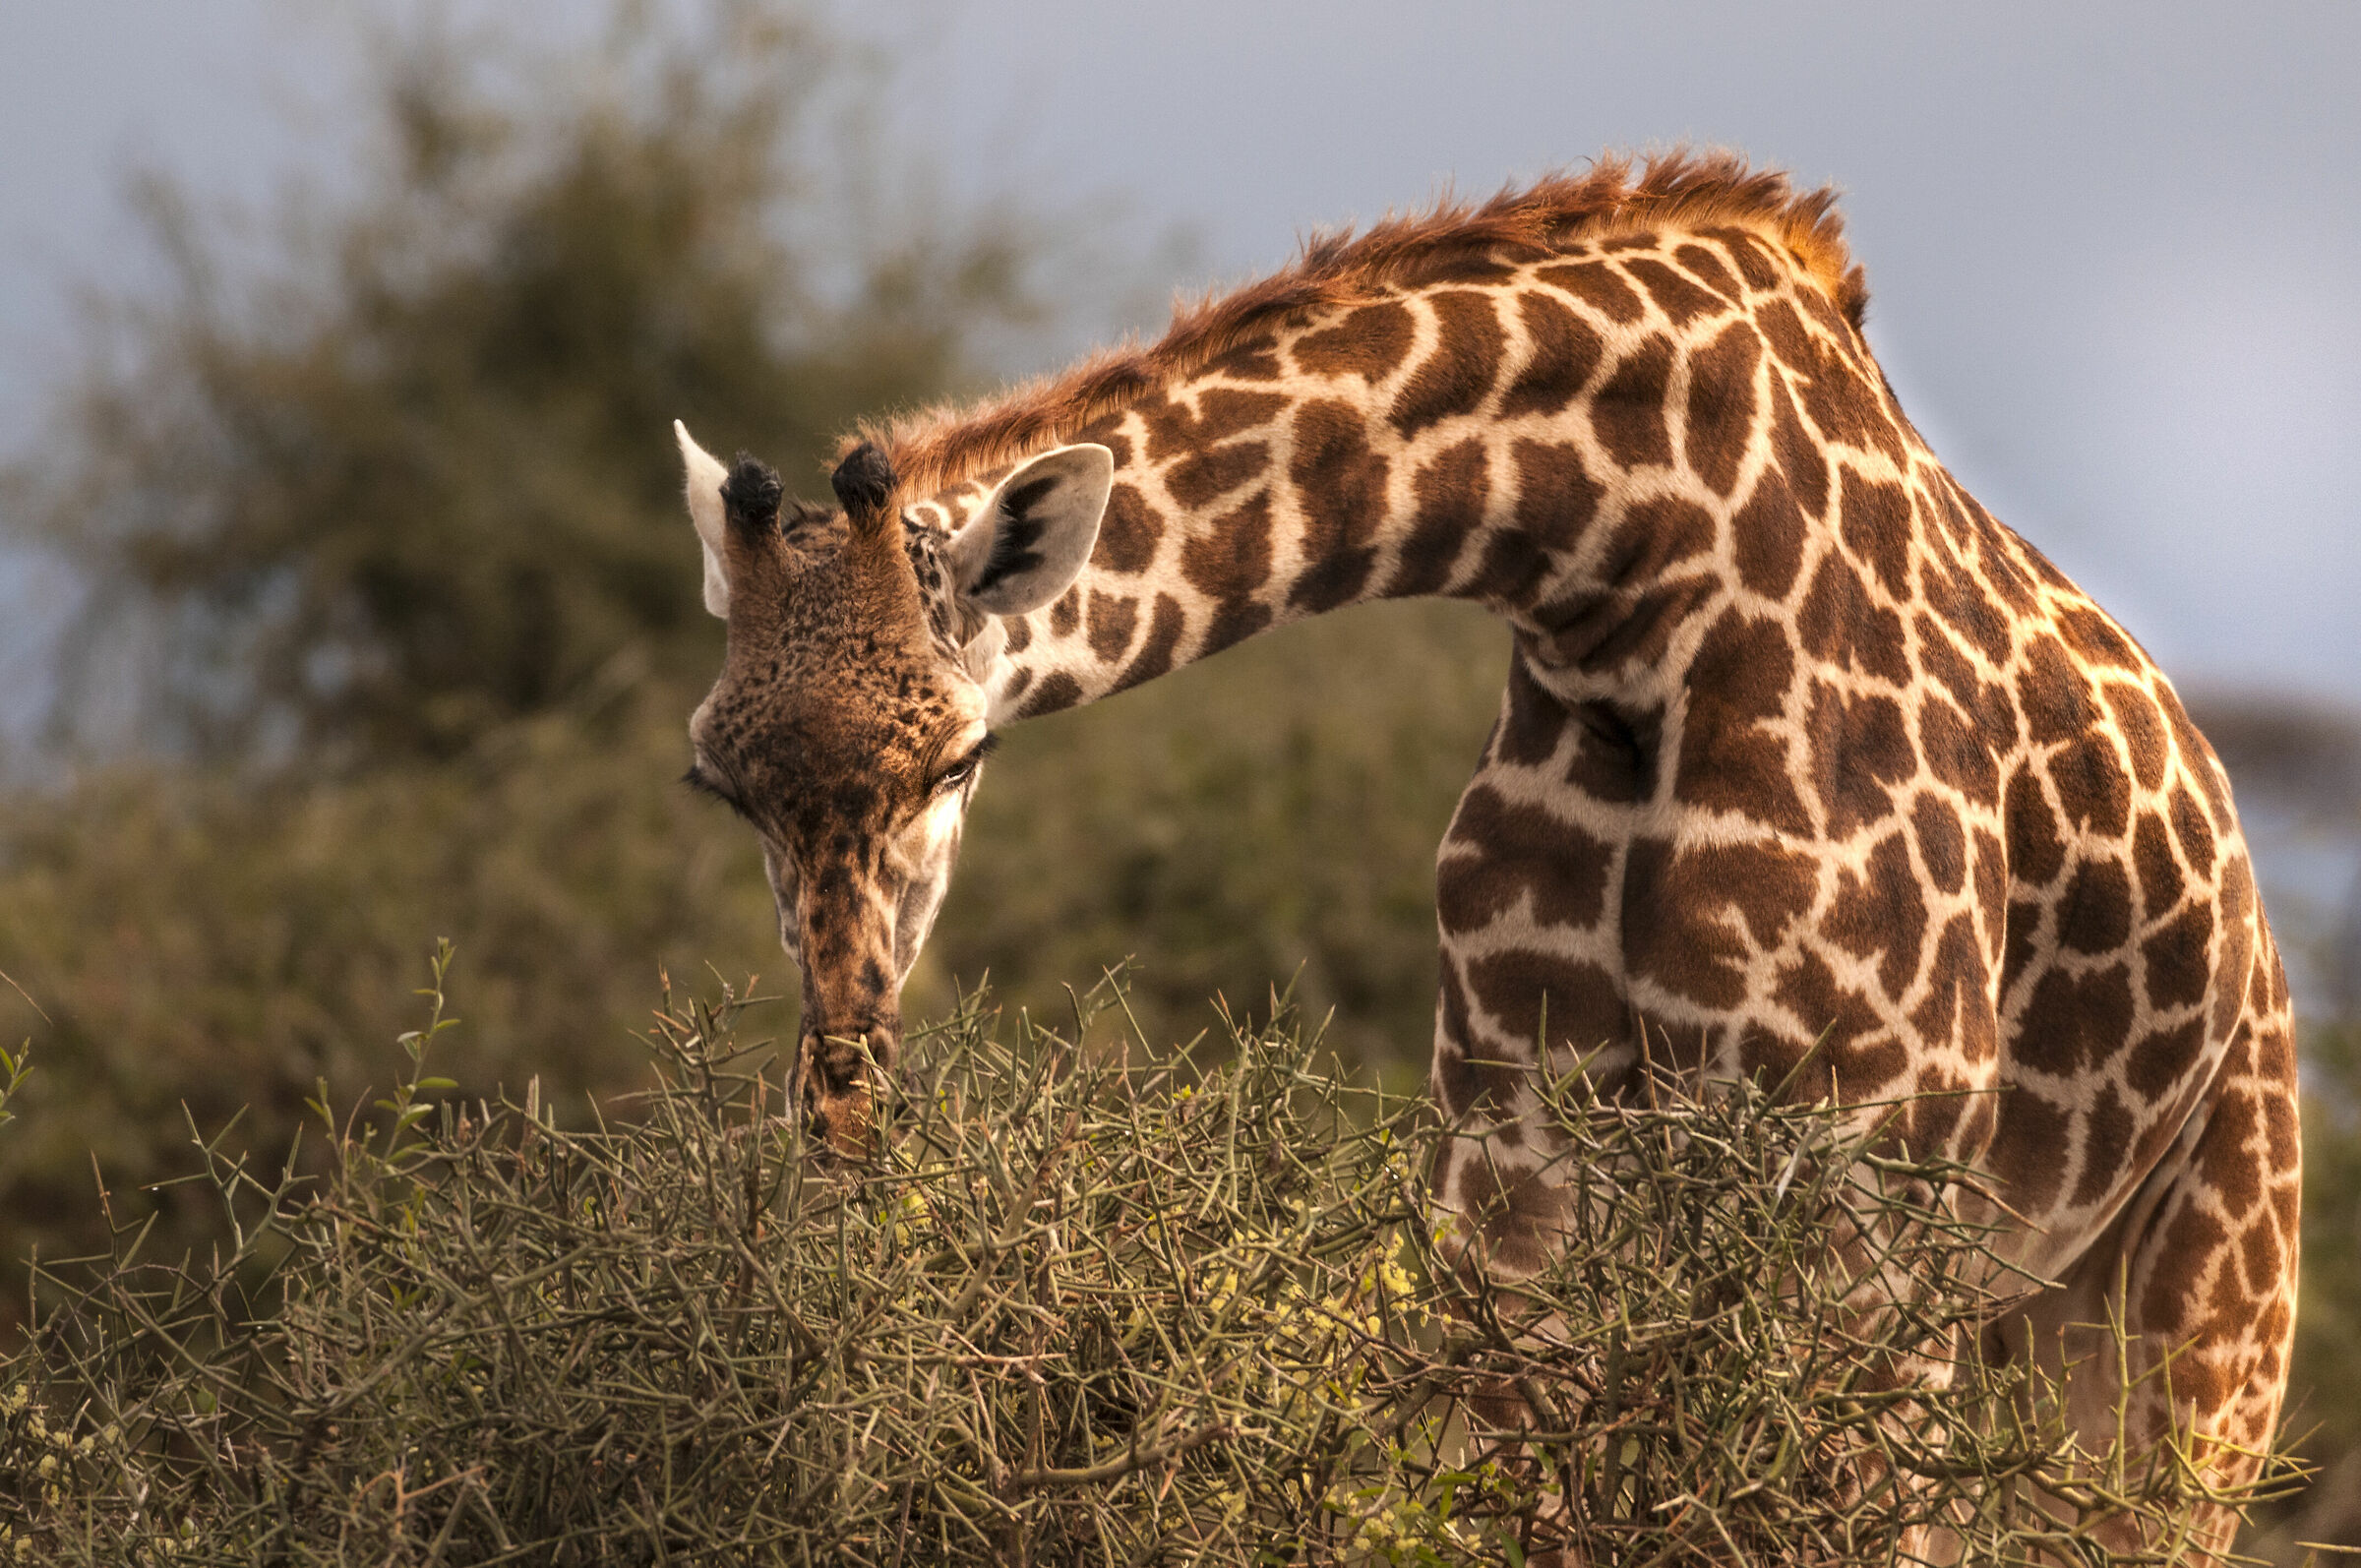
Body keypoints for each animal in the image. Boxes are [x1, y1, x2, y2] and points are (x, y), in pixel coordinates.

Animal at [674, 153, 2297, 1550]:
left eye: (959, 757)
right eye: (720, 785)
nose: (844, 1109)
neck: (1630, 573)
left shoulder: (1860, 1183)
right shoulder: (1517, 1161)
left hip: (2188, 1341)